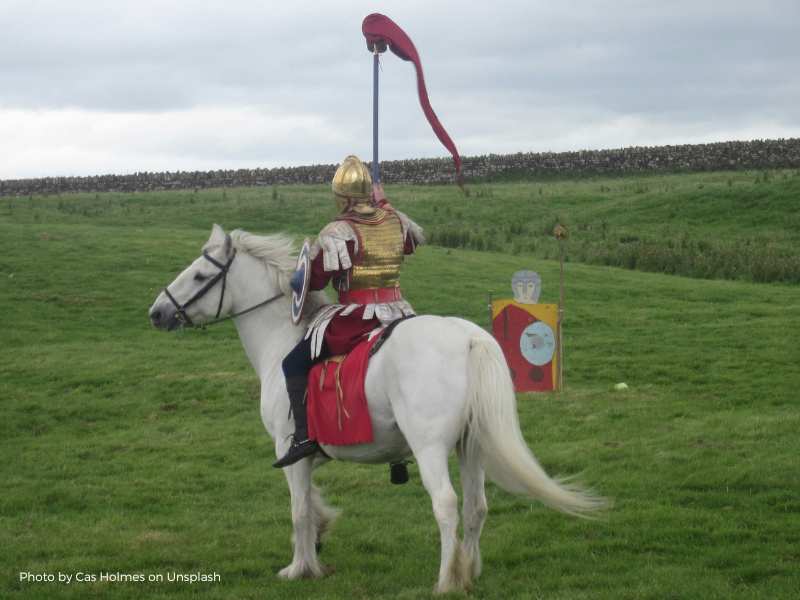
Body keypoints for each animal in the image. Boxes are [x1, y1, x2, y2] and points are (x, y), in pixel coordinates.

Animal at [148, 226, 608, 596]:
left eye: (201, 276)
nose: (158, 312)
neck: (283, 335)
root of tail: (469, 338)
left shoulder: (289, 449)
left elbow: (298, 509)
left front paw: (300, 568)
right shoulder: (316, 452)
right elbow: (312, 502)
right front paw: (320, 539)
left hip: (430, 449)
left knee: (446, 504)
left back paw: (446, 580)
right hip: (471, 445)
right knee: (476, 507)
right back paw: (469, 570)